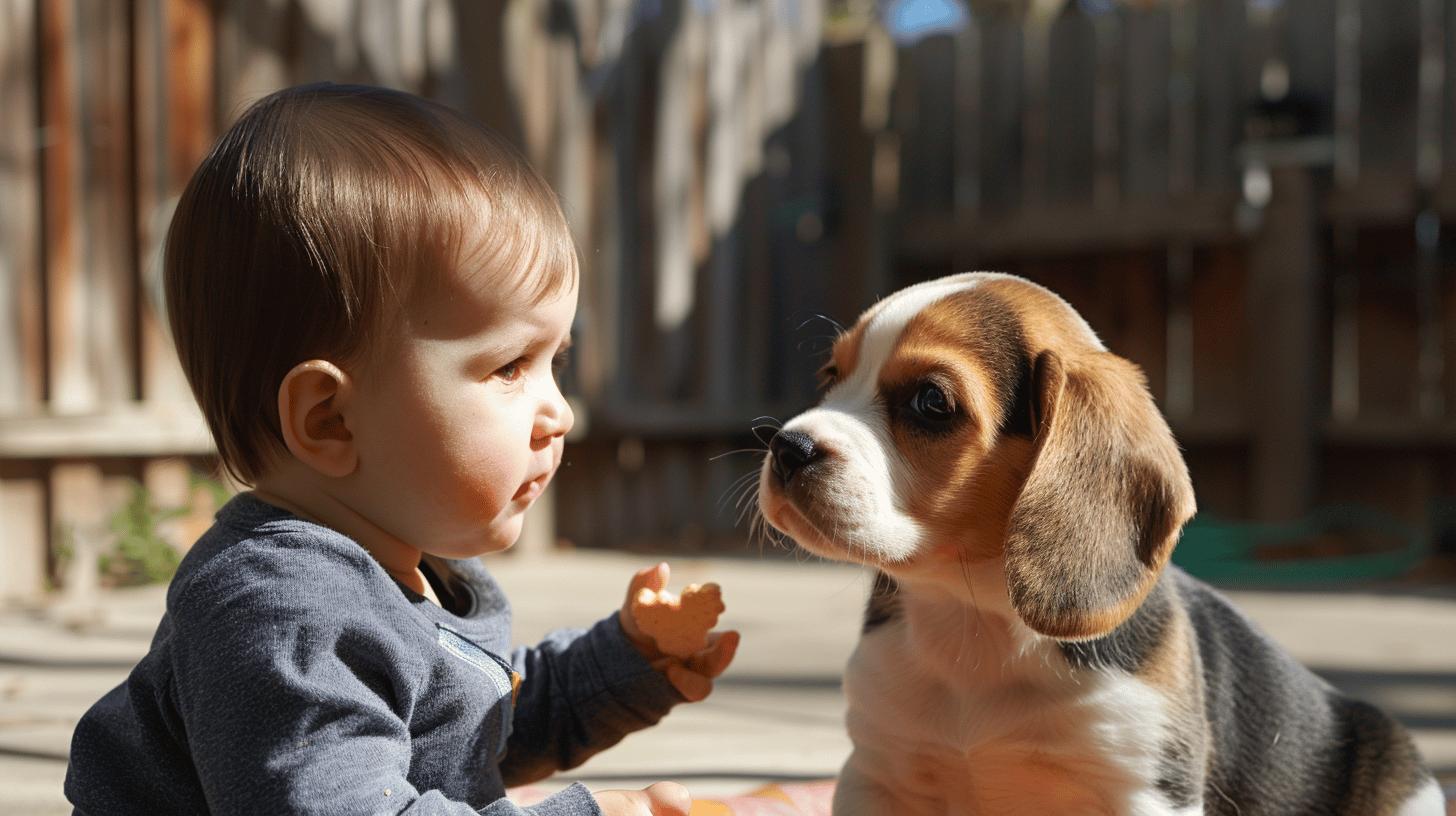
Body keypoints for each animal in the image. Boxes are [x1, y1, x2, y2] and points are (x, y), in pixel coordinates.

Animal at [757, 273, 1438, 816]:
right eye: (830, 377)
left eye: (930, 401)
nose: (787, 447)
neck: (973, 620)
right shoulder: (878, 771)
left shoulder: (1143, 790)